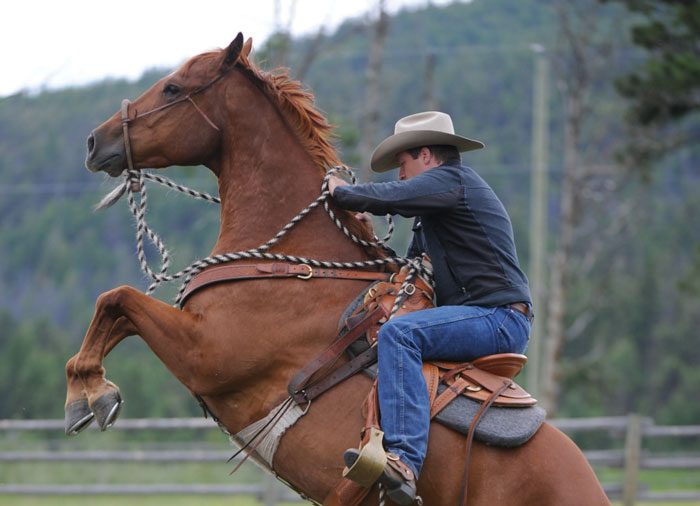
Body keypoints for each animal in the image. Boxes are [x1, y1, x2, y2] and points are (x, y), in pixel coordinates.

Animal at [67, 33, 610, 505]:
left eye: (174, 88)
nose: (94, 141)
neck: (289, 263)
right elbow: (115, 309)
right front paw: (85, 395)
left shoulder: (206, 353)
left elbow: (118, 299)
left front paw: (90, 395)